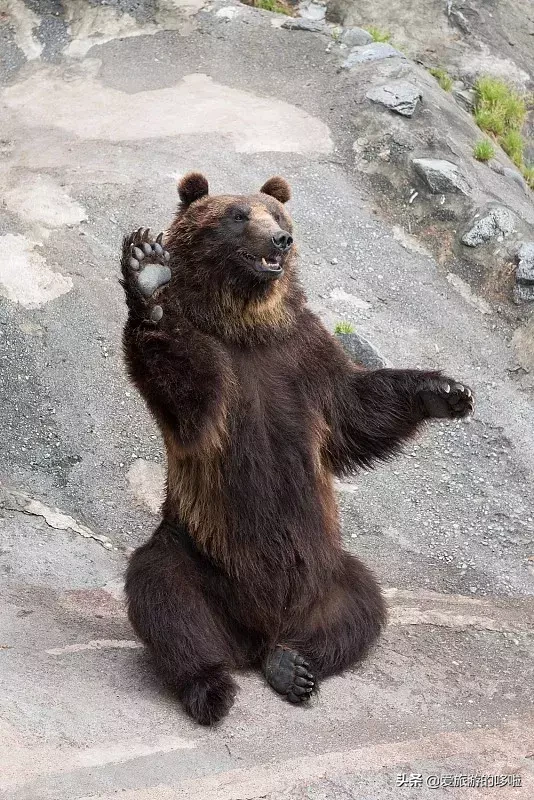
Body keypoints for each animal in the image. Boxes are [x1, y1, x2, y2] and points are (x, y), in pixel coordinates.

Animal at [119, 173, 476, 724]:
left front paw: (446, 391)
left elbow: (356, 410)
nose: (280, 241)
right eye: (238, 215)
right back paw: (209, 687)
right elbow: (188, 392)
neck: (245, 326)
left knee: (363, 603)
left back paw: (293, 665)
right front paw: (147, 271)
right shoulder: (214, 372)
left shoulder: (305, 353)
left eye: (279, 215)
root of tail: (255, 635)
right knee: (163, 595)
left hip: (325, 570)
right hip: (196, 552)